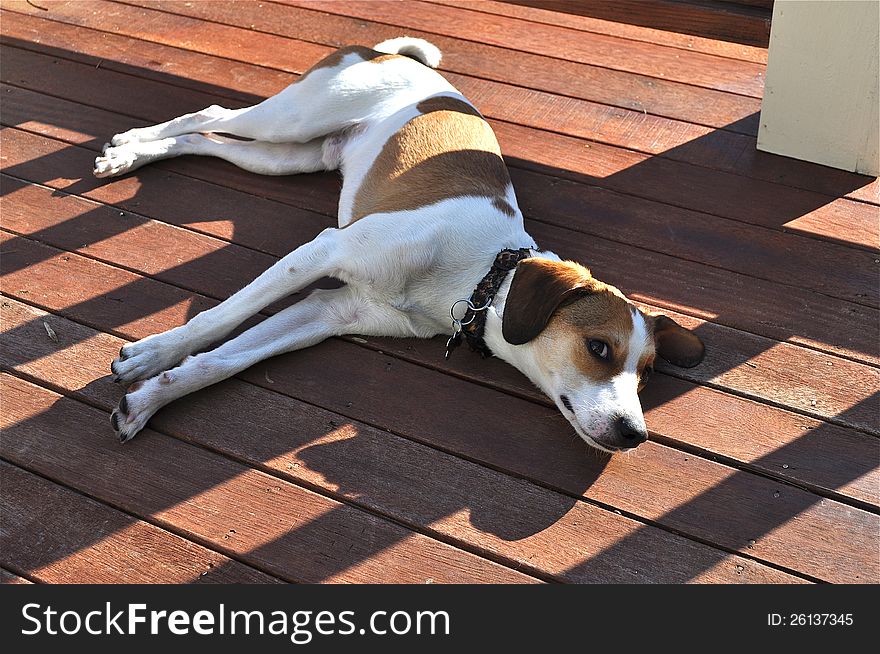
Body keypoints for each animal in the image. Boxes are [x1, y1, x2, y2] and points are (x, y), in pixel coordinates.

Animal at [94, 38, 700, 454]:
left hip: (289, 157)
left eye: (647, 373)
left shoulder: (331, 310)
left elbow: (223, 361)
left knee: (207, 138)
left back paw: (136, 154)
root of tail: (389, 54)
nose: (635, 433)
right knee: (214, 115)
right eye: (599, 348)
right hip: (290, 121)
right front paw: (152, 354)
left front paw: (150, 398)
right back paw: (130, 144)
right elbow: (216, 321)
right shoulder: (322, 252)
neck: (481, 277)